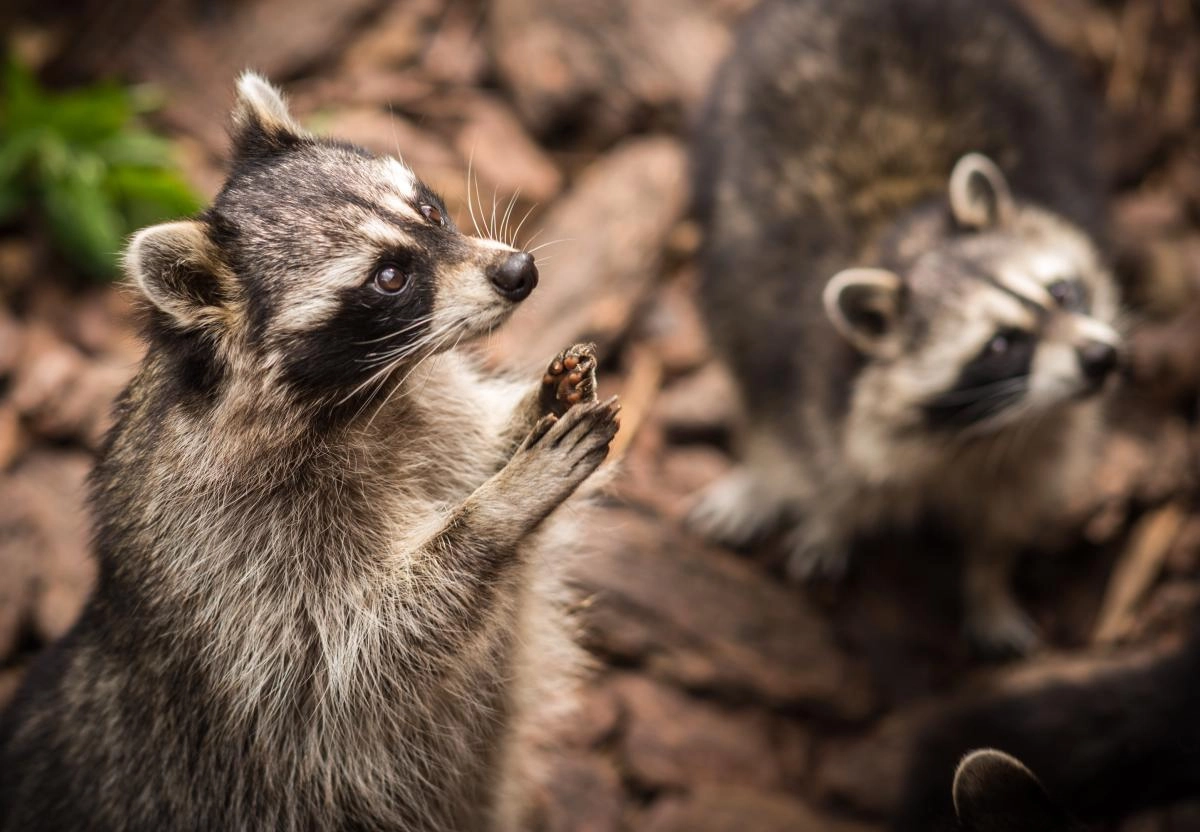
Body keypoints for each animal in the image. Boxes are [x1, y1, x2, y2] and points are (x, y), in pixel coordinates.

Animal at [0, 72, 619, 830]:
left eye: (427, 208)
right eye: (389, 277)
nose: (520, 270)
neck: (360, 401)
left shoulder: (425, 410)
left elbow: (464, 458)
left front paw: (534, 413)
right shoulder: (235, 558)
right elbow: (354, 654)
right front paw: (497, 511)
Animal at [691, 0, 1118, 657]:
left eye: (1061, 292)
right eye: (1001, 345)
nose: (1100, 359)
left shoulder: (1052, 432)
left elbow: (1011, 509)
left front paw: (989, 582)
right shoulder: (793, 358)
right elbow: (806, 446)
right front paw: (825, 514)